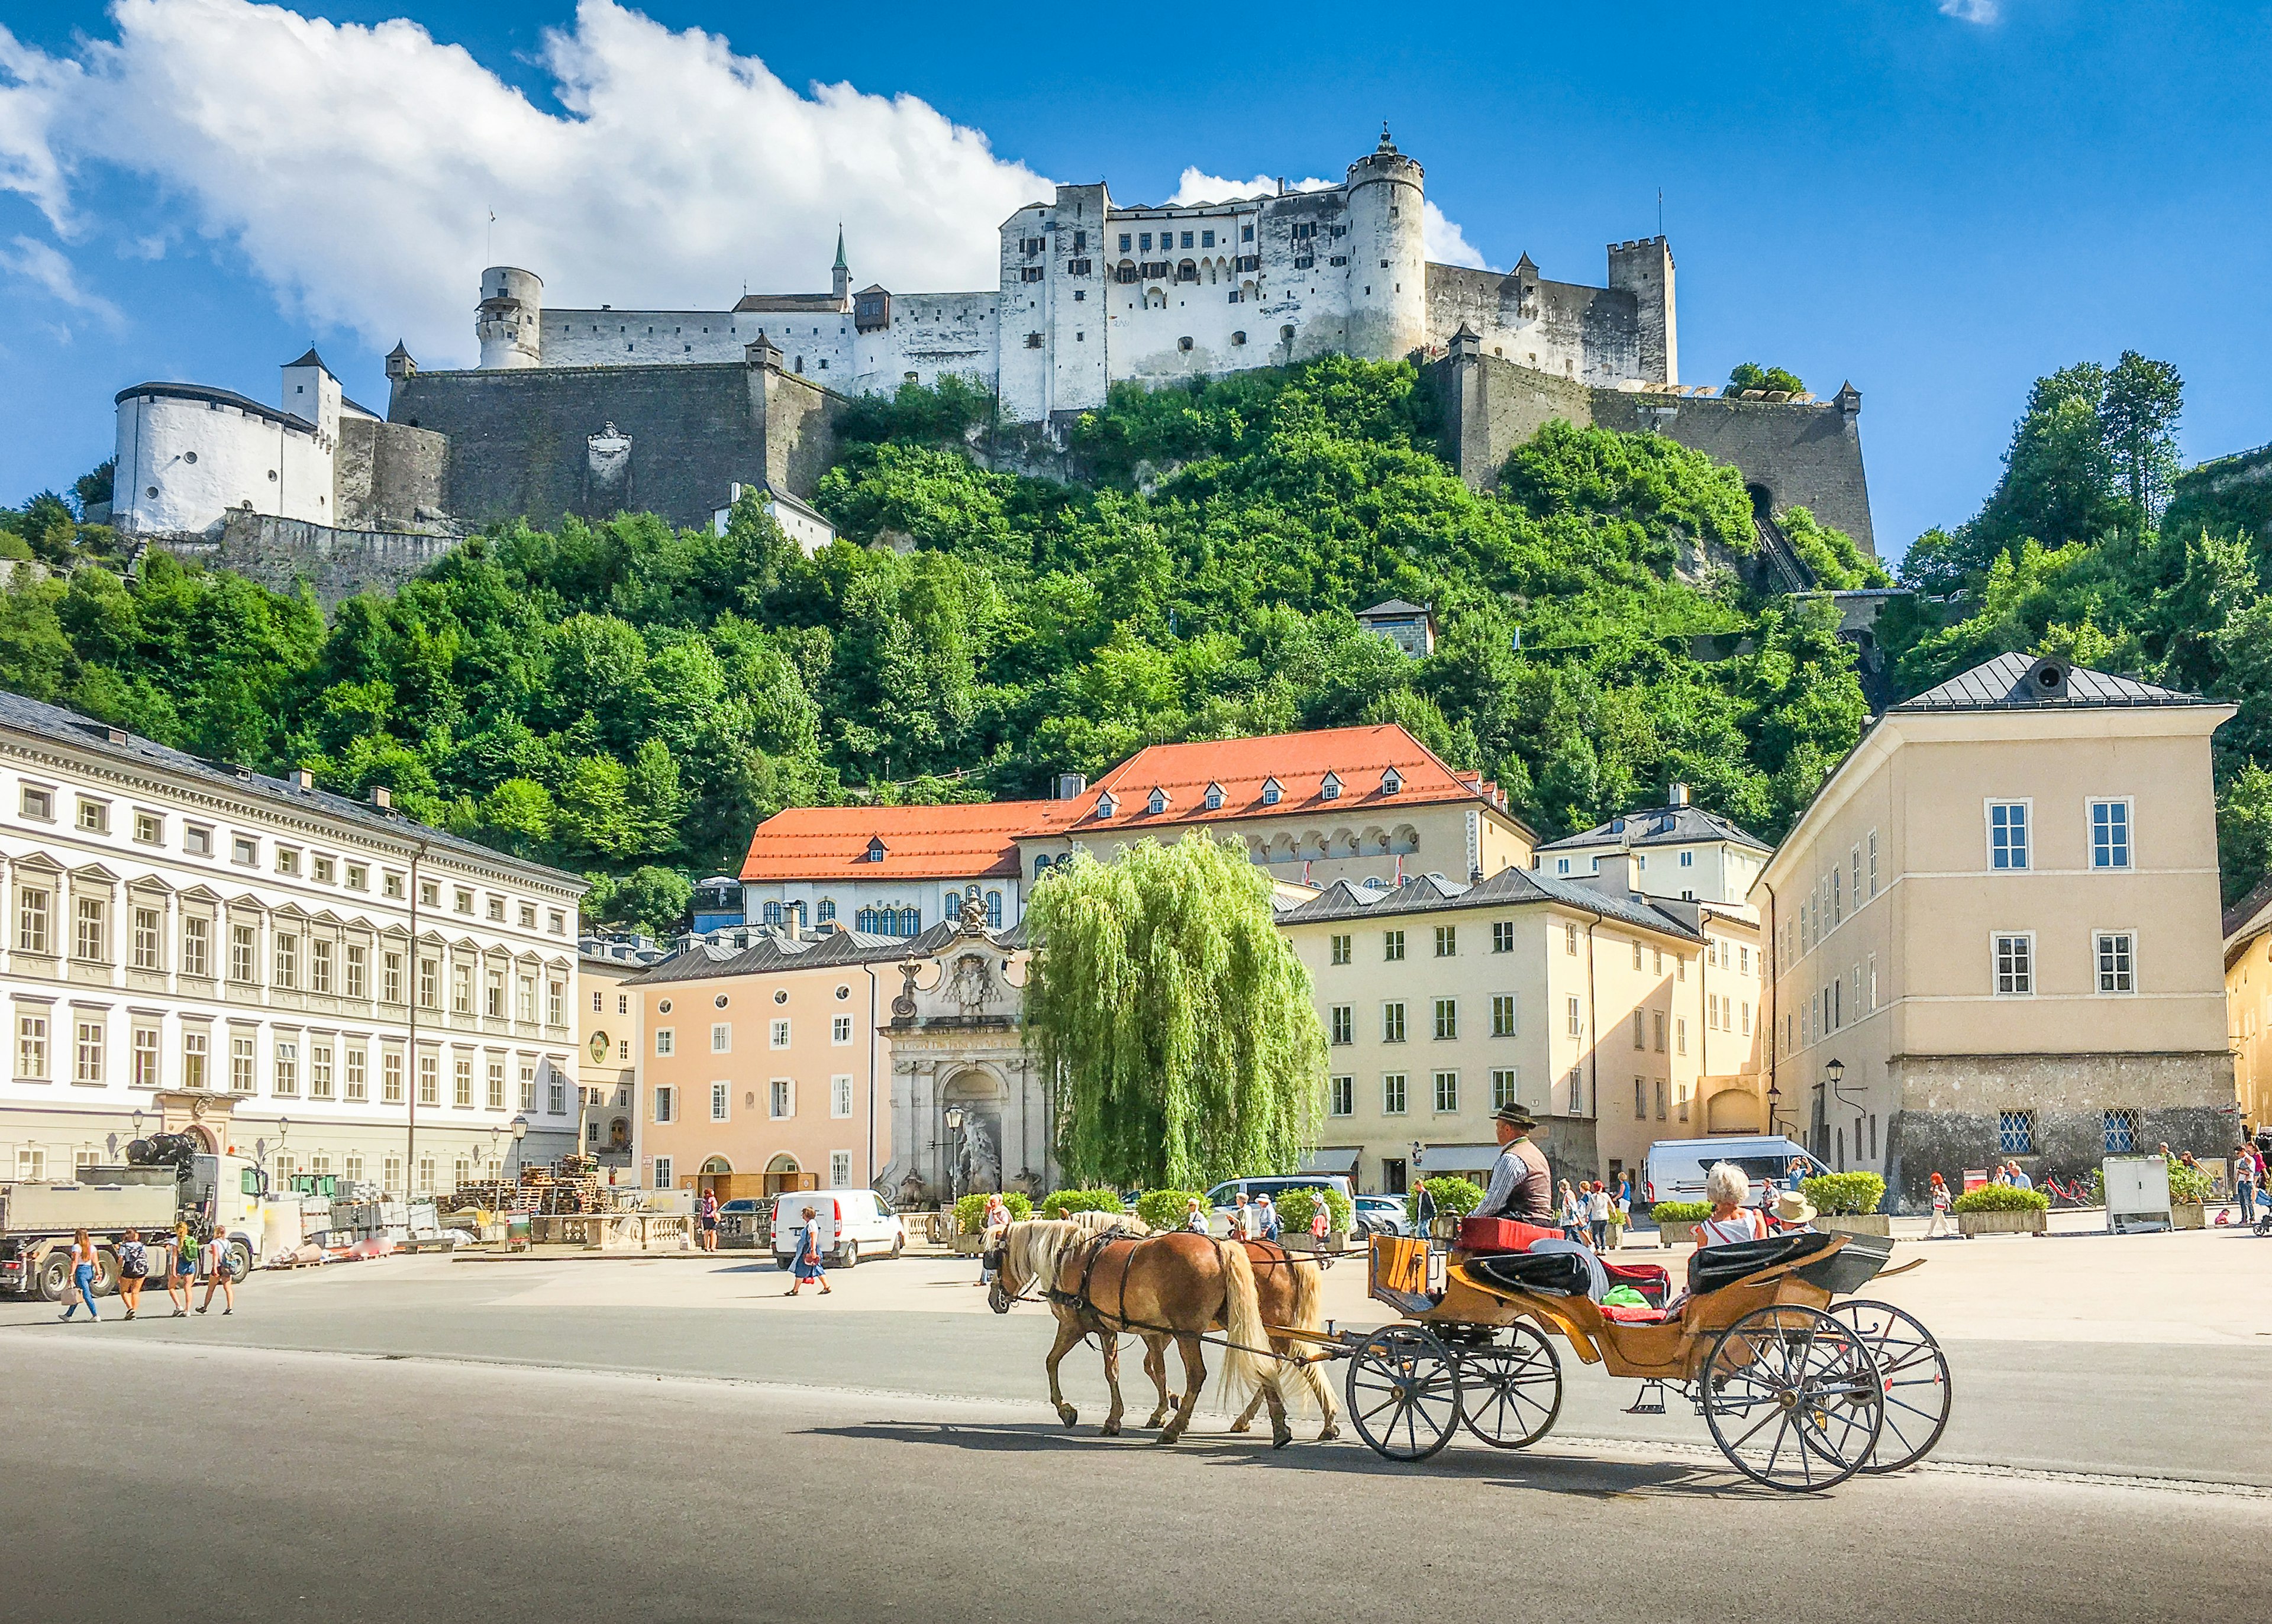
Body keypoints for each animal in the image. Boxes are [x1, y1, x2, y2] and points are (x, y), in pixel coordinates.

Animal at [990, 1217, 1290, 1444]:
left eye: (993, 1259)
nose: (994, 1300)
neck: (1071, 1256)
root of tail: (1220, 1247)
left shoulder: (1073, 1327)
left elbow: (1051, 1362)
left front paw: (1066, 1411)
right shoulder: (1112, 1329)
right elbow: (1118, 1371)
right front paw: (1118, 1418)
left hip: (1187, 1333)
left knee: (1198, 1375)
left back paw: (1175, 1428)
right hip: (1241, 1323)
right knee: (1264, 1364)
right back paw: (1278, 1428)